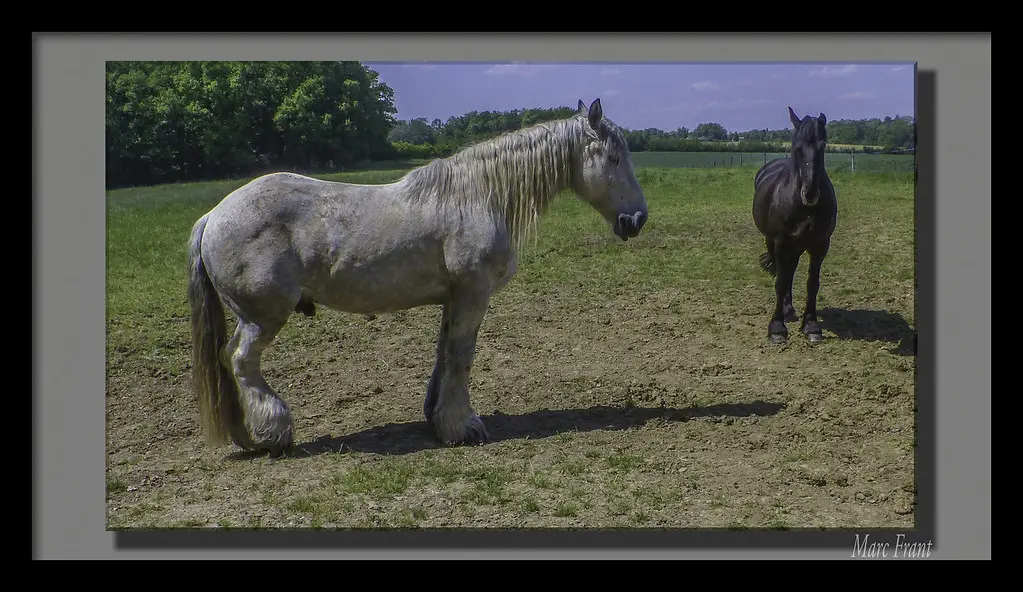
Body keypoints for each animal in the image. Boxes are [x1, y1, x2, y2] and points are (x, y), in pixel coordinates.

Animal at [187, 98, 649, 454]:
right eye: (612, 158)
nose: (637, 220)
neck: (476, 197)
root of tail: (213, 216)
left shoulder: (453, 298)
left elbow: (444, 356)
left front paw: (438, 419)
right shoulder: (473, 293)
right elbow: (462, 357)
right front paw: (463, 427)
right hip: (263, 317)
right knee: (242, 362)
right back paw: (275, 433)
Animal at [752, 106, 838, 345]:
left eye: (823, 146)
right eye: (798, 147)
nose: (810, 193)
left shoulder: (820, 245)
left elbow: (812, 284)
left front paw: (811, 326)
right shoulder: (781, 243)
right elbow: (781, 283)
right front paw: (777, 328)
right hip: (774, 242)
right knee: (785, 274)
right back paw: (786, 311)